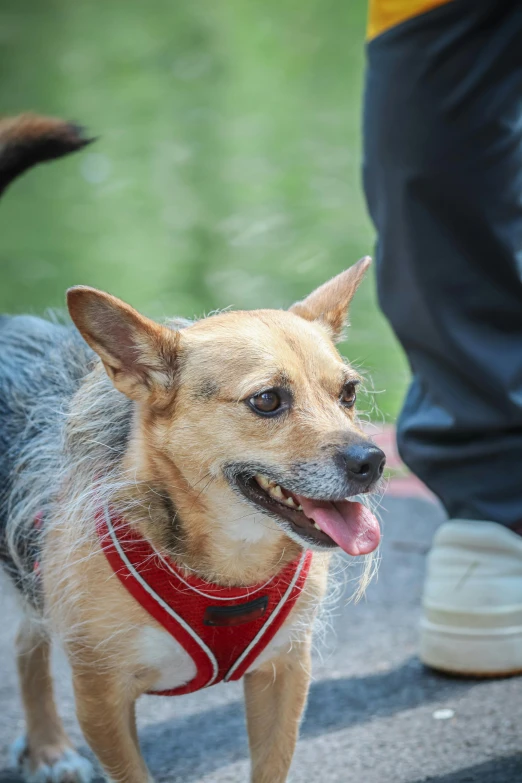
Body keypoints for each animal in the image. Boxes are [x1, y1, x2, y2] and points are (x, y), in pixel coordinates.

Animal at [0, 115, 382, 783]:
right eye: (267, 401)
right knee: (28, 644)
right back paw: (49, 747)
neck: (229, 566)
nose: (373, 462)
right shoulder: (101, 699)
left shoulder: (284, 677)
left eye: (349, 393)